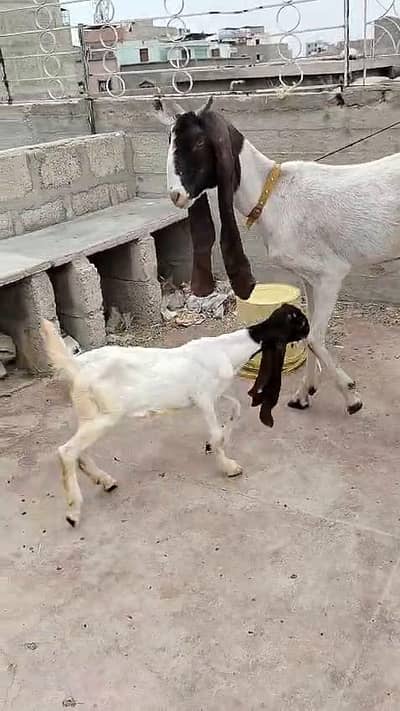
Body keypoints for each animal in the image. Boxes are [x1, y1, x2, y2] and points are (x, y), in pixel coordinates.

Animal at [41, 304, 309, 526]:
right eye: (301, 322)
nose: (309, 333)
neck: (227, 350)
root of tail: (76, 367)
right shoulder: (203, 397)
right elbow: (217, 432)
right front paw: (228, 466)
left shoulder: (215, 394)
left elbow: (236, 409)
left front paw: (212, 445)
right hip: (105, 416)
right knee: (67, 451)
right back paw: (73, 512)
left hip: (89, 414)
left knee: (79, 451)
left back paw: (104, 480)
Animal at [155, 96, 400, 414]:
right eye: (170, 140)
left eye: (197, 142)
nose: (176, 196)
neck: (272, 194)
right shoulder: (310, 278)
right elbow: (308, 332)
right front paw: (303, 394)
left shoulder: (330, 273)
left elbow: (314, 338)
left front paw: (351, 397)